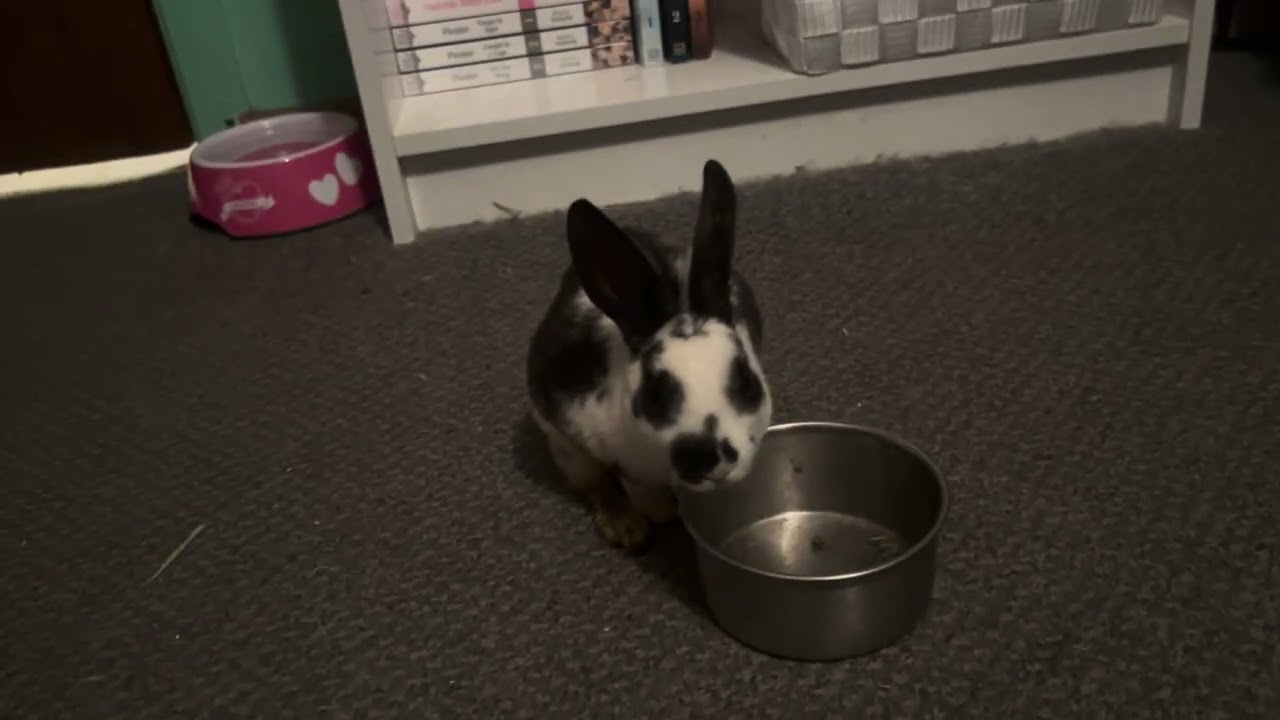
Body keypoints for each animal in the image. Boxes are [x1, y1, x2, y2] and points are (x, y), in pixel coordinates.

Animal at [525, 159, 772, 552]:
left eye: (746, 384)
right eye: (655, 395)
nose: (704, 456)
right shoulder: (607, 450)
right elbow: (631, 484)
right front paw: (656, 514)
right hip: (567, 450)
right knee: (592, 485)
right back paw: (624, 526)